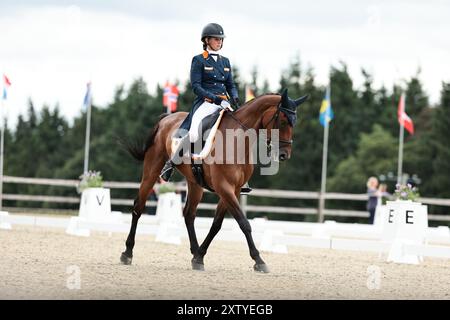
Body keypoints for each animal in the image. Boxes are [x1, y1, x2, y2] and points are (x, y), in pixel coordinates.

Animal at [121, 89, 308, 272]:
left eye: (294, 122)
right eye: (282, 121)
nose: (284, 155)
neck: (237, 142)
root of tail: (166, 119)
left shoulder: (234, 189)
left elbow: (217, 224)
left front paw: (199, 257)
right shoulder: (224, 187)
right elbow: (244, 223)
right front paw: (259, 260)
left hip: (194, 182)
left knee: (189, 214)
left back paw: (194, 251)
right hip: (152, 169)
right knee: (138, 206)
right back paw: (127, 253)